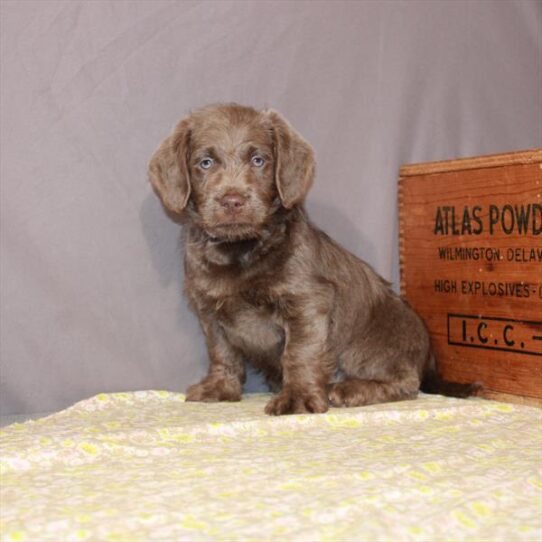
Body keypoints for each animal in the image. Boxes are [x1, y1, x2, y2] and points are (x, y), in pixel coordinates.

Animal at [148, 104, 476, 416]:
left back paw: (350, 389)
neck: (240, 251)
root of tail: (427, 358)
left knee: (406, 382)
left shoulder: (307, 302)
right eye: (205, 162)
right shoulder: (209, 310)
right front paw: (220, 388)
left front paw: (298, 398)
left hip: (373, 344)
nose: (233, 201)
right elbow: (221, 351)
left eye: (259, 160)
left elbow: (299, 353)